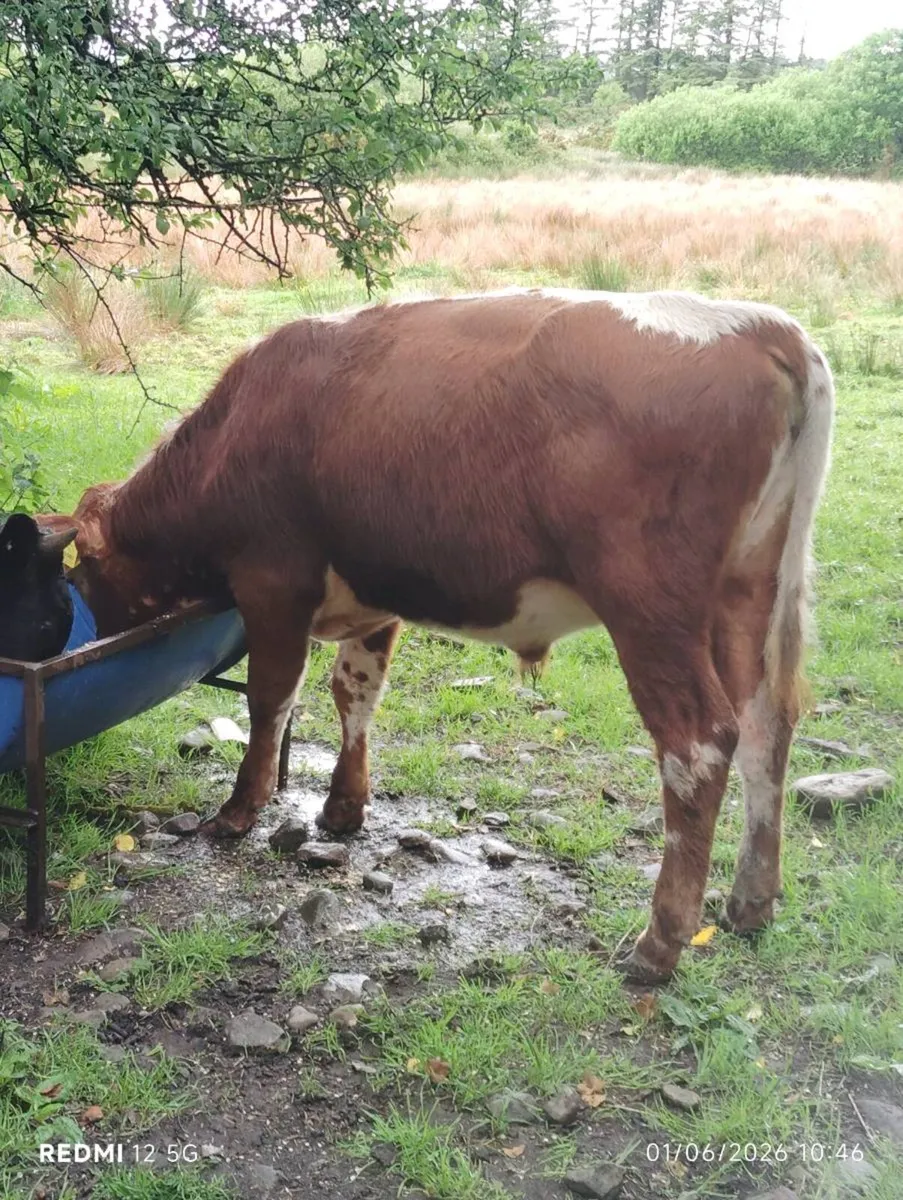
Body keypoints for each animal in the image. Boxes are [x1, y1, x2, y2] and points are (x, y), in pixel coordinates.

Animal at [43, 288, 834, 982]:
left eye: (86, 566)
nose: (90, 630)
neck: (235, 432)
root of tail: (760, 326)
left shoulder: (274, 580)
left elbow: (272, 697)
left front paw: (240, 810)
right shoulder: (378, 590)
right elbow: (354, 692)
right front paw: (343, 807)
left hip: (650, 606)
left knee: (698, 745)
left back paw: (659, 941)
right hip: (750, 592)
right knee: (767, 726)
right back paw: (749, 903)